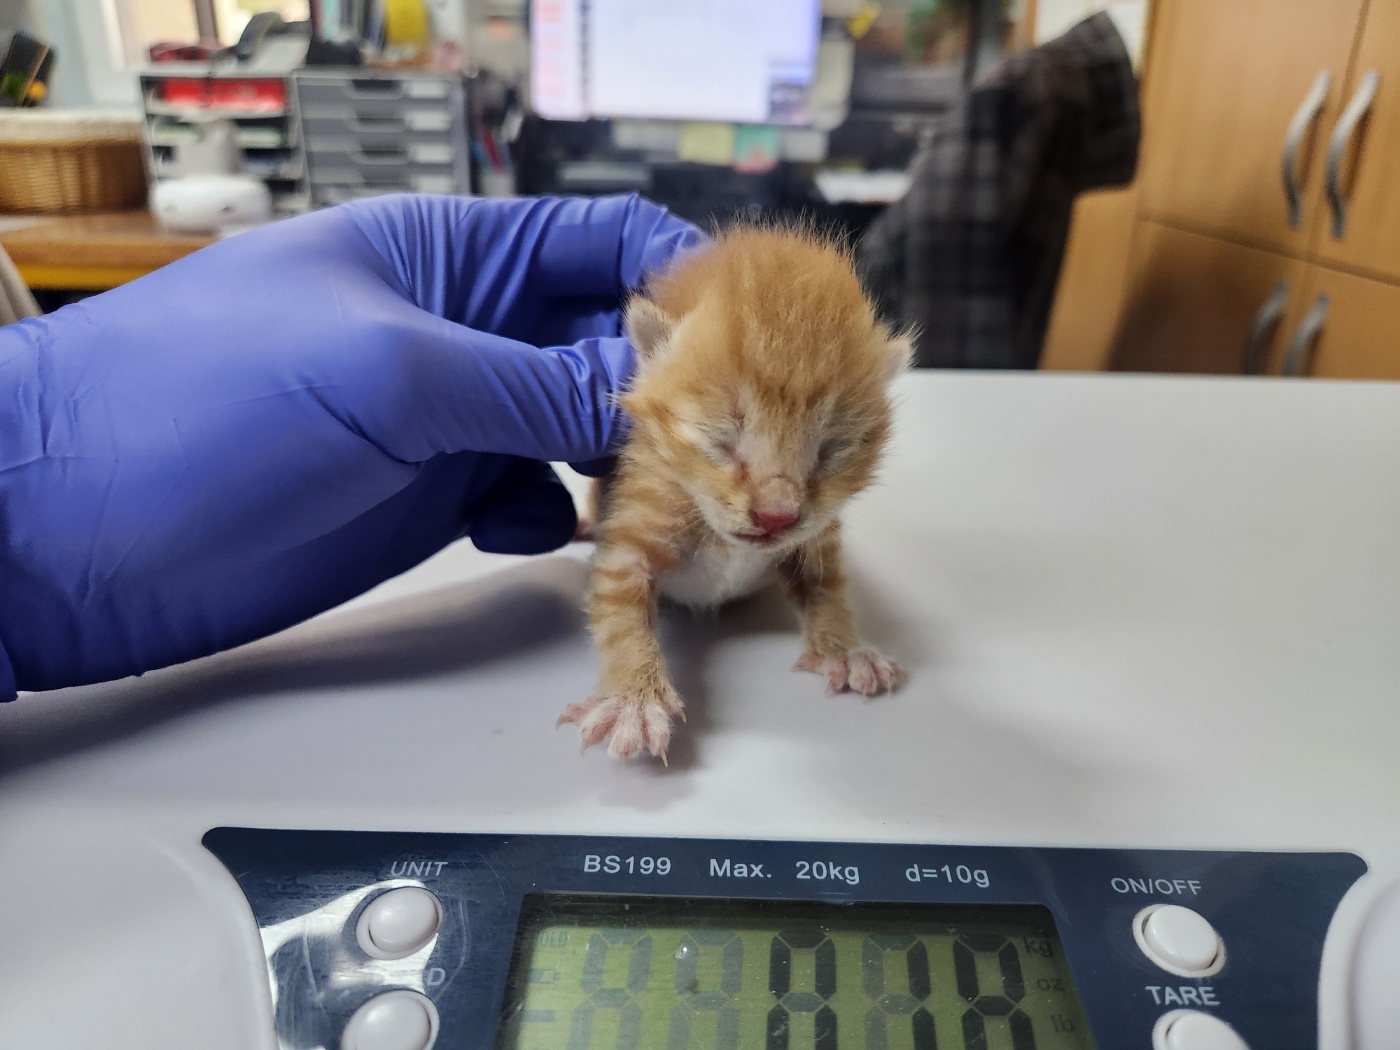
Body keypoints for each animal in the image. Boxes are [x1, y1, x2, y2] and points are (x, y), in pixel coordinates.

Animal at [557, 224, 907, 767]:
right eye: (720, 438)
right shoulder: (631, 534)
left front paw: (844, 648)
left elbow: (828, 588)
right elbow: (620, 617)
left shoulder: (817, 539)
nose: (776, 516)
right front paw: (633, 698)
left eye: (830, 450)